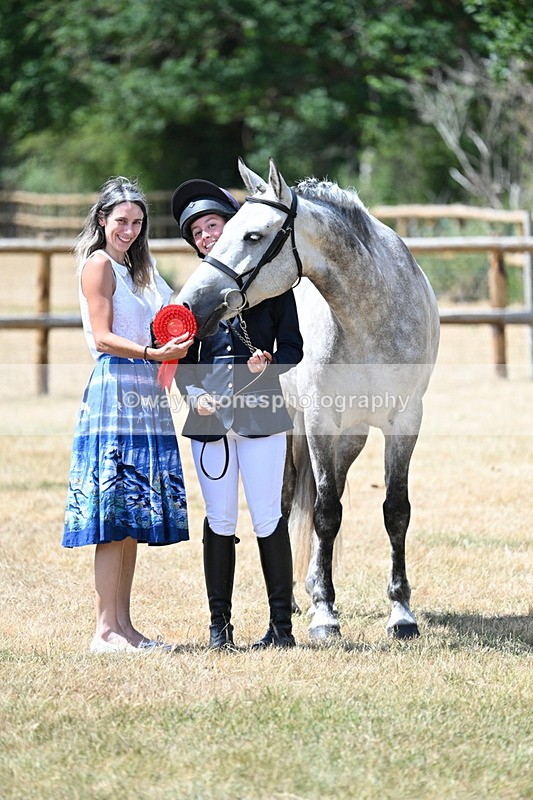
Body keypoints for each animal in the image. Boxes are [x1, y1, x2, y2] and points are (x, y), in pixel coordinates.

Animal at [175, 158, 440, 641]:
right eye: (220, 232)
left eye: (252, 235)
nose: (189, 305)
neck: (370, 315)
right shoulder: (320, 422)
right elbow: (325, 512)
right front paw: (325, 616)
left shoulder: (406, 422)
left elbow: (395, 511)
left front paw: (401, 613)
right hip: (294, 433)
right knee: (285, 503)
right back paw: (302, 600)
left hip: (351, 436)